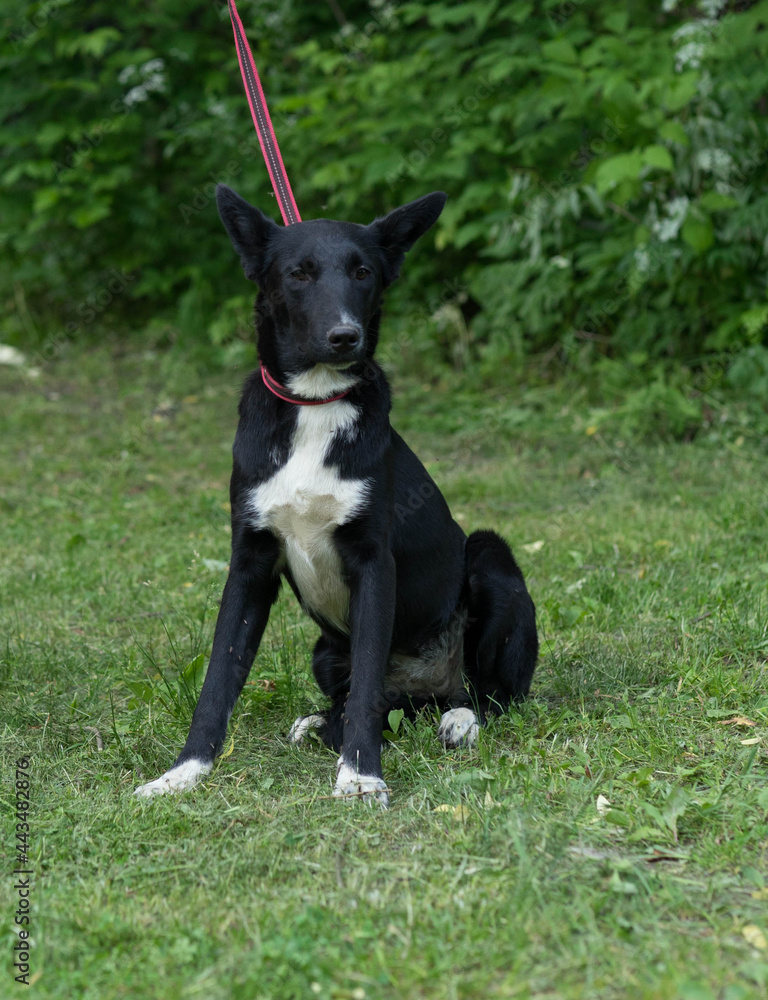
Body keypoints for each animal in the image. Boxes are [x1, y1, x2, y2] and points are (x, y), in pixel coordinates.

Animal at [135, 188, 536, 808]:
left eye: (363, 271)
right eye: (298, 273)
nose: (345, 336)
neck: (315, 403)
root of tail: (426, 686)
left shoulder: (373, 564)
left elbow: (368, 685)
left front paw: (361, 775)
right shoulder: (249, 563)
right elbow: (218, 679)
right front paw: (183, 772)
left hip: (489, 561)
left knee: (484, 694)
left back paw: (461, 719)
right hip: (326, 652)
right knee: (382, 705)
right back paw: (324, 722)